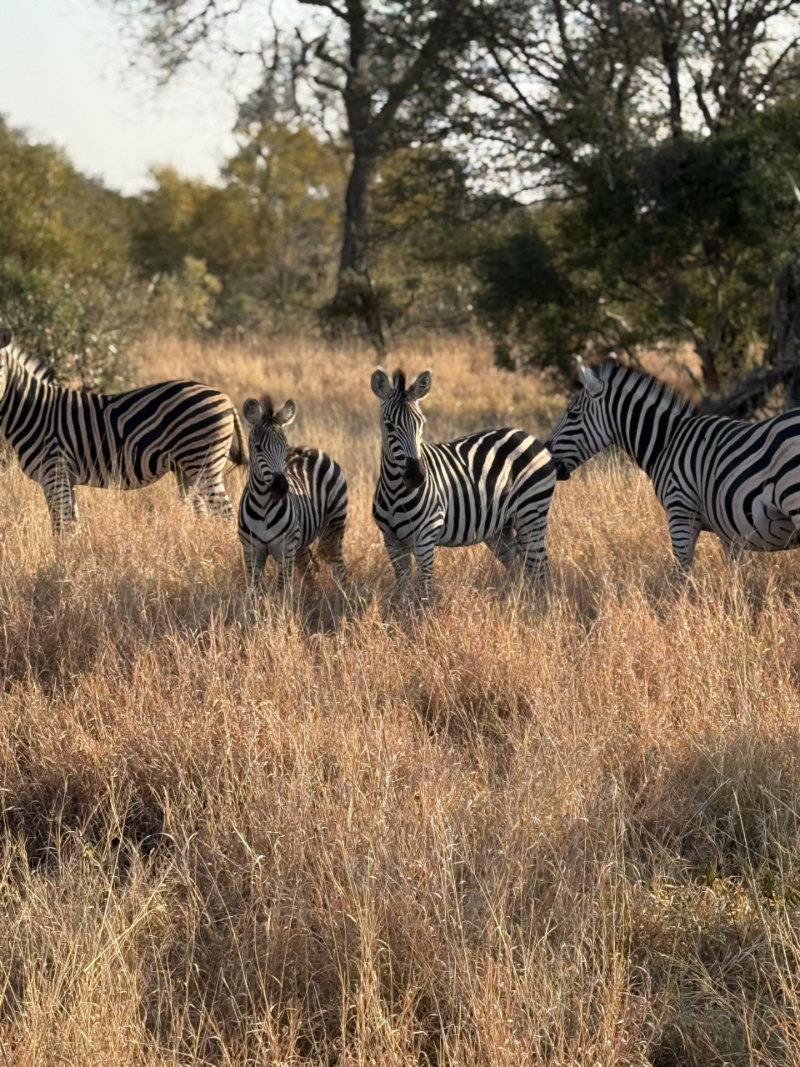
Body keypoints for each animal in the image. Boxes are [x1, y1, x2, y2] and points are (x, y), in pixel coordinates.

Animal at [0, 328, 246, 530]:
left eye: (0, 368)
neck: (33, 411)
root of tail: (225, 397)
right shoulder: (65, 477)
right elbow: (71, 523)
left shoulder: (54, 471)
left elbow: (61, 526)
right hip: (186, 469)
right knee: (202, 512)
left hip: (204, 463)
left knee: (226, 514)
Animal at [238, 395, 348, 591]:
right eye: (257, 448)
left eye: (284, 446)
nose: (281, 487)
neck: (263, 506)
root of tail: (309, 449)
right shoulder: (251, 551)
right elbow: (255, 590)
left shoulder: (285, 549)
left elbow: (281, 589)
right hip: (302, 542)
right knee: (309, 572)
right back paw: (313, 596)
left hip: (334, 525)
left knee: (339, 568)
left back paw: (345, 596)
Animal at [371, 368, 556, 590]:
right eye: (389, 427)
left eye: (421, 424)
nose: (417, 477)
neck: (394, 490)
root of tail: (528, 436)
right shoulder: (392, 542)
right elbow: (403, 589)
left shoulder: (425, 538)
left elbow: (424, 588)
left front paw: (424, 600)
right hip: (501, 527)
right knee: (520, 563)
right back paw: (520, 596)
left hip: (531, 514)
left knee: (541, 567)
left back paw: (542, 599)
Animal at [546, 357, 800, 573]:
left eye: (573, 414)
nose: (549, 457)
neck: (666, 442)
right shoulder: (729, 530)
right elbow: (735, 579)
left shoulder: (681, 510)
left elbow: (681, 574)